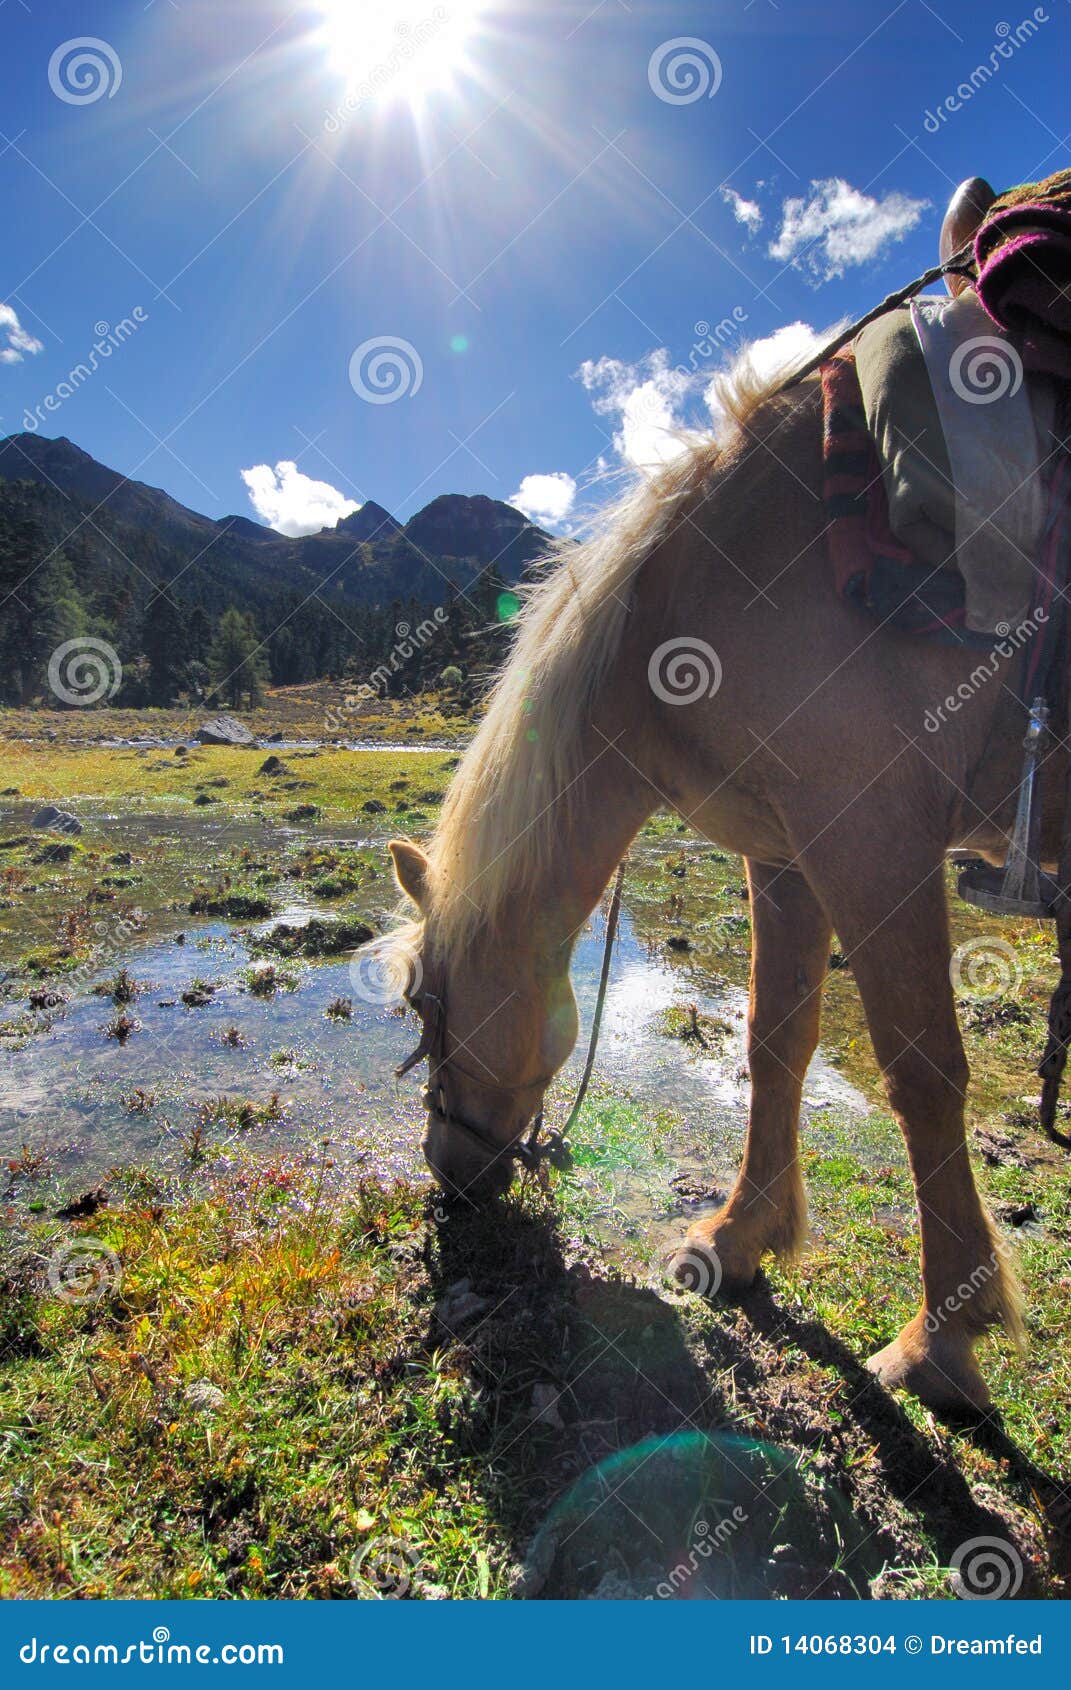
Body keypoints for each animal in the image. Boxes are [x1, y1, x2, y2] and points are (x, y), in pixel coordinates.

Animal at [376, 349, 1054, 1419]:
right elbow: (774, 1043)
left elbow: (922, 1076)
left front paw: (942, 1340)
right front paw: (737, 1242)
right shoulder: (785, 855)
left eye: (421, 1002)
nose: (444, 1171)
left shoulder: (871, 840)